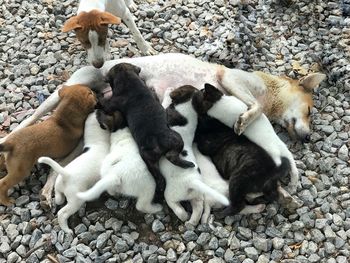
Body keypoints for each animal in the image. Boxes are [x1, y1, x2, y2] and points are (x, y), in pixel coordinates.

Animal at [98, 63, 194, 201]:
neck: (128, 79)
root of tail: (159, 141)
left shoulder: (110, 104)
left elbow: (103, 103)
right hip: (174, 142)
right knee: (169, 161)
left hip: (152, 154)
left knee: (161, 175)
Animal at [159, 86, 230, 227]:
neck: (189, 107)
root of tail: (193, 181)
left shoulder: (164, 111)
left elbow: (164, 102)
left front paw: (168, 91)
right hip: (196, 195)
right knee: (198, 208)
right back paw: (191, 222)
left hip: (171, 194)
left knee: (176, 206)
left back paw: (183, 216)